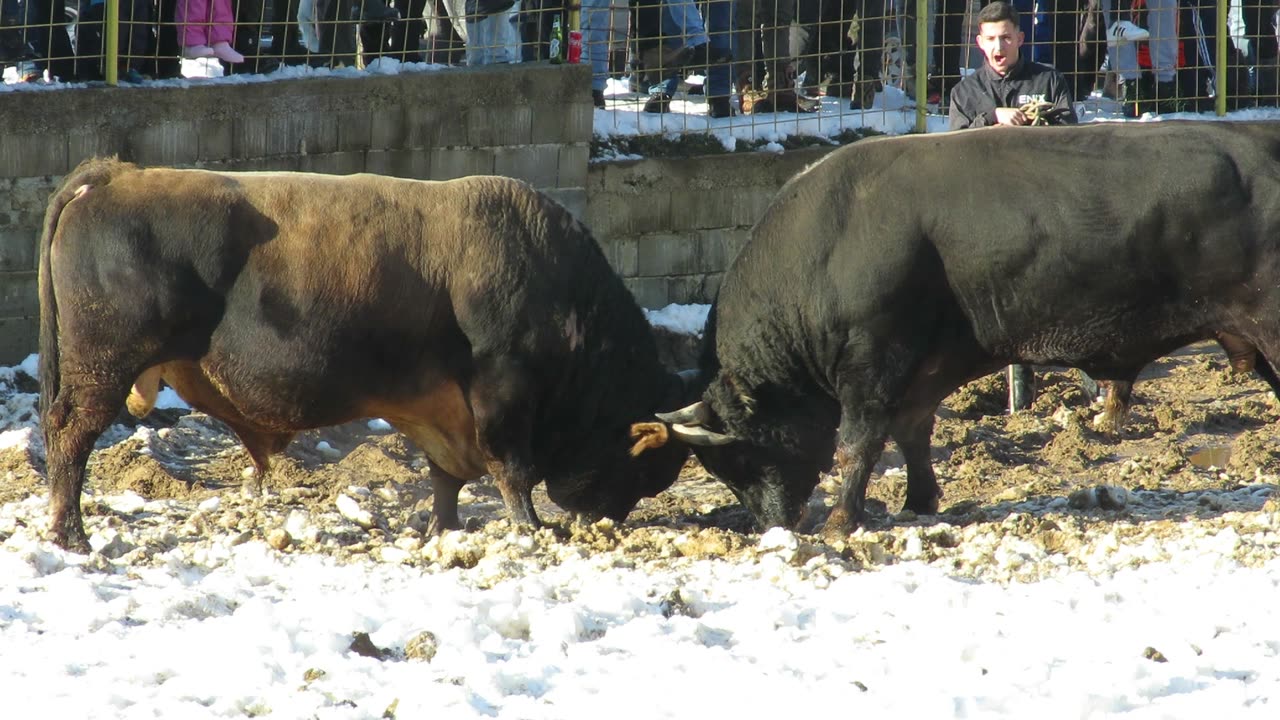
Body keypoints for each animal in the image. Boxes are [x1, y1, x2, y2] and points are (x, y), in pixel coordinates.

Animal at [37, 158, 691, 548]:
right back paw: (72, 535)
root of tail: (118, 174)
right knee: (70, 435)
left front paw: (441, 529)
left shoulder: (442, 409)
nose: (602, 522)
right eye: (646, 469)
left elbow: (446, 477)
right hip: (101, 370)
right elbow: (513, 470)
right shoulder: (501, 393)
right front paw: (529, 531)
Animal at [640, 121, 1280, 532]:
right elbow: (912, 433)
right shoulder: (923, 369)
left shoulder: (871, 364)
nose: (778, 525)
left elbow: (857, 443)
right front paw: (920, 500)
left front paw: (841, 522)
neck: (825, 245)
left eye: (743, 456)